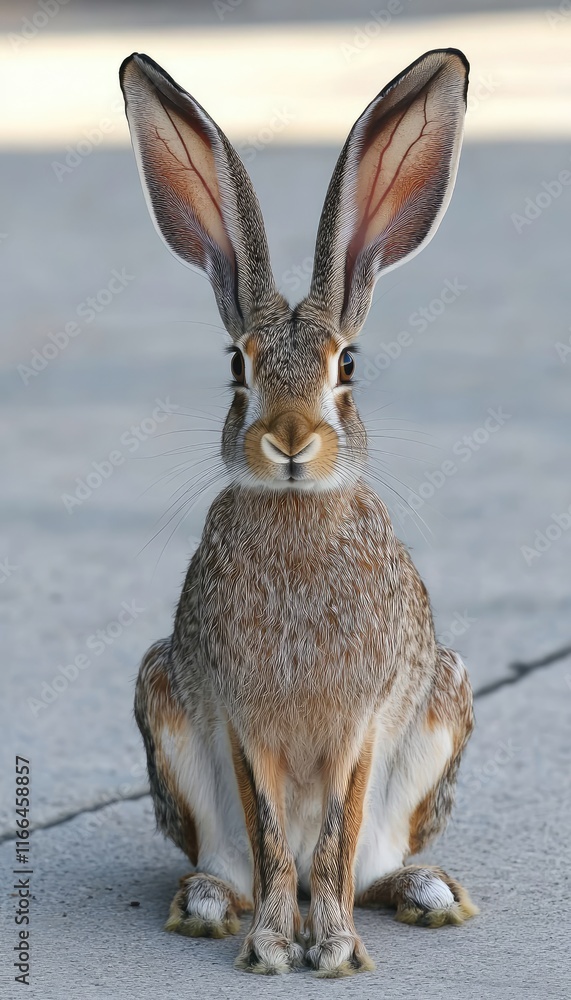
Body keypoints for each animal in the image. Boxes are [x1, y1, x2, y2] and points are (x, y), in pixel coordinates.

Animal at [120, 48, 477, 977]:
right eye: (236, 366)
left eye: (345, 364)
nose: (287, 440)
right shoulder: (243, 724)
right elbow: (278, 842)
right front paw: (272, 951)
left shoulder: (361, 723)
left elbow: (335, 840)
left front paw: (340, 951)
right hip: (163, 703)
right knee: (237, 862)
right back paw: (210, 906)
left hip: (440, 705)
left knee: (371, 861)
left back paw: (424, 895)